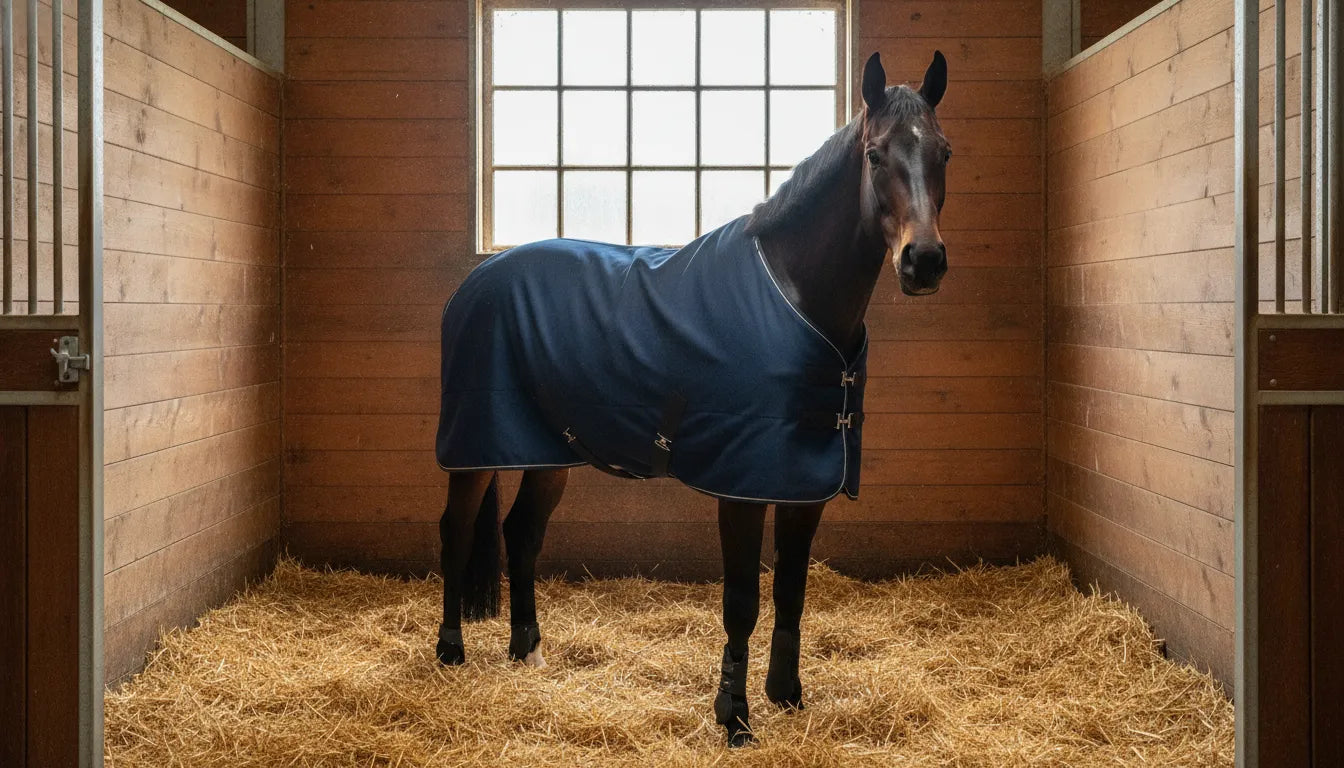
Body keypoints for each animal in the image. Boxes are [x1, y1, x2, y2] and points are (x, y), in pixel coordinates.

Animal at [432, 50, 951, 747]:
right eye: (874, 155)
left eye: (943, 152)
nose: (923, 261)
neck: (794, 297)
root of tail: (477, 280)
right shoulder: (742, 483)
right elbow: (742, 602)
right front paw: (735, 718)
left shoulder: (803, 479)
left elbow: (791, 590)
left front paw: (788, 696)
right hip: (475, 448)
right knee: (457, 531)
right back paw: (451, 652)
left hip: (548, 452)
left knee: (521, 534)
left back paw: (528, 651)